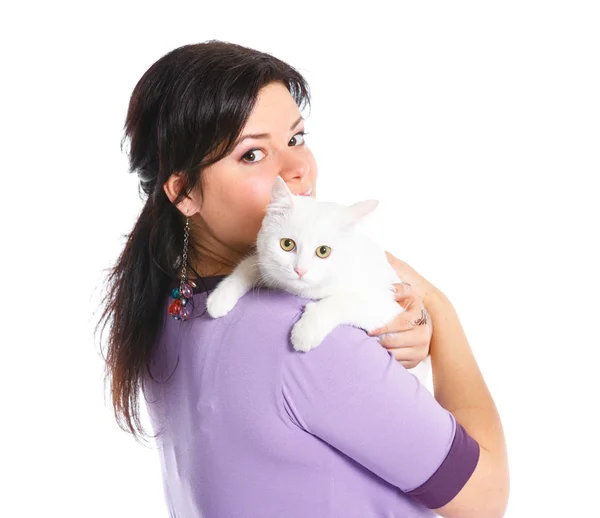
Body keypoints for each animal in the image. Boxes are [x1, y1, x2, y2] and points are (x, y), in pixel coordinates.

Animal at [206, 179, 432, 386]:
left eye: (323, 251)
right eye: (287, 244)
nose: (300, 270)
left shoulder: (388, 306)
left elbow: (342, 301)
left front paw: (307, 330)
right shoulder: (265, 266)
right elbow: (246, 267)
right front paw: (220, 298)